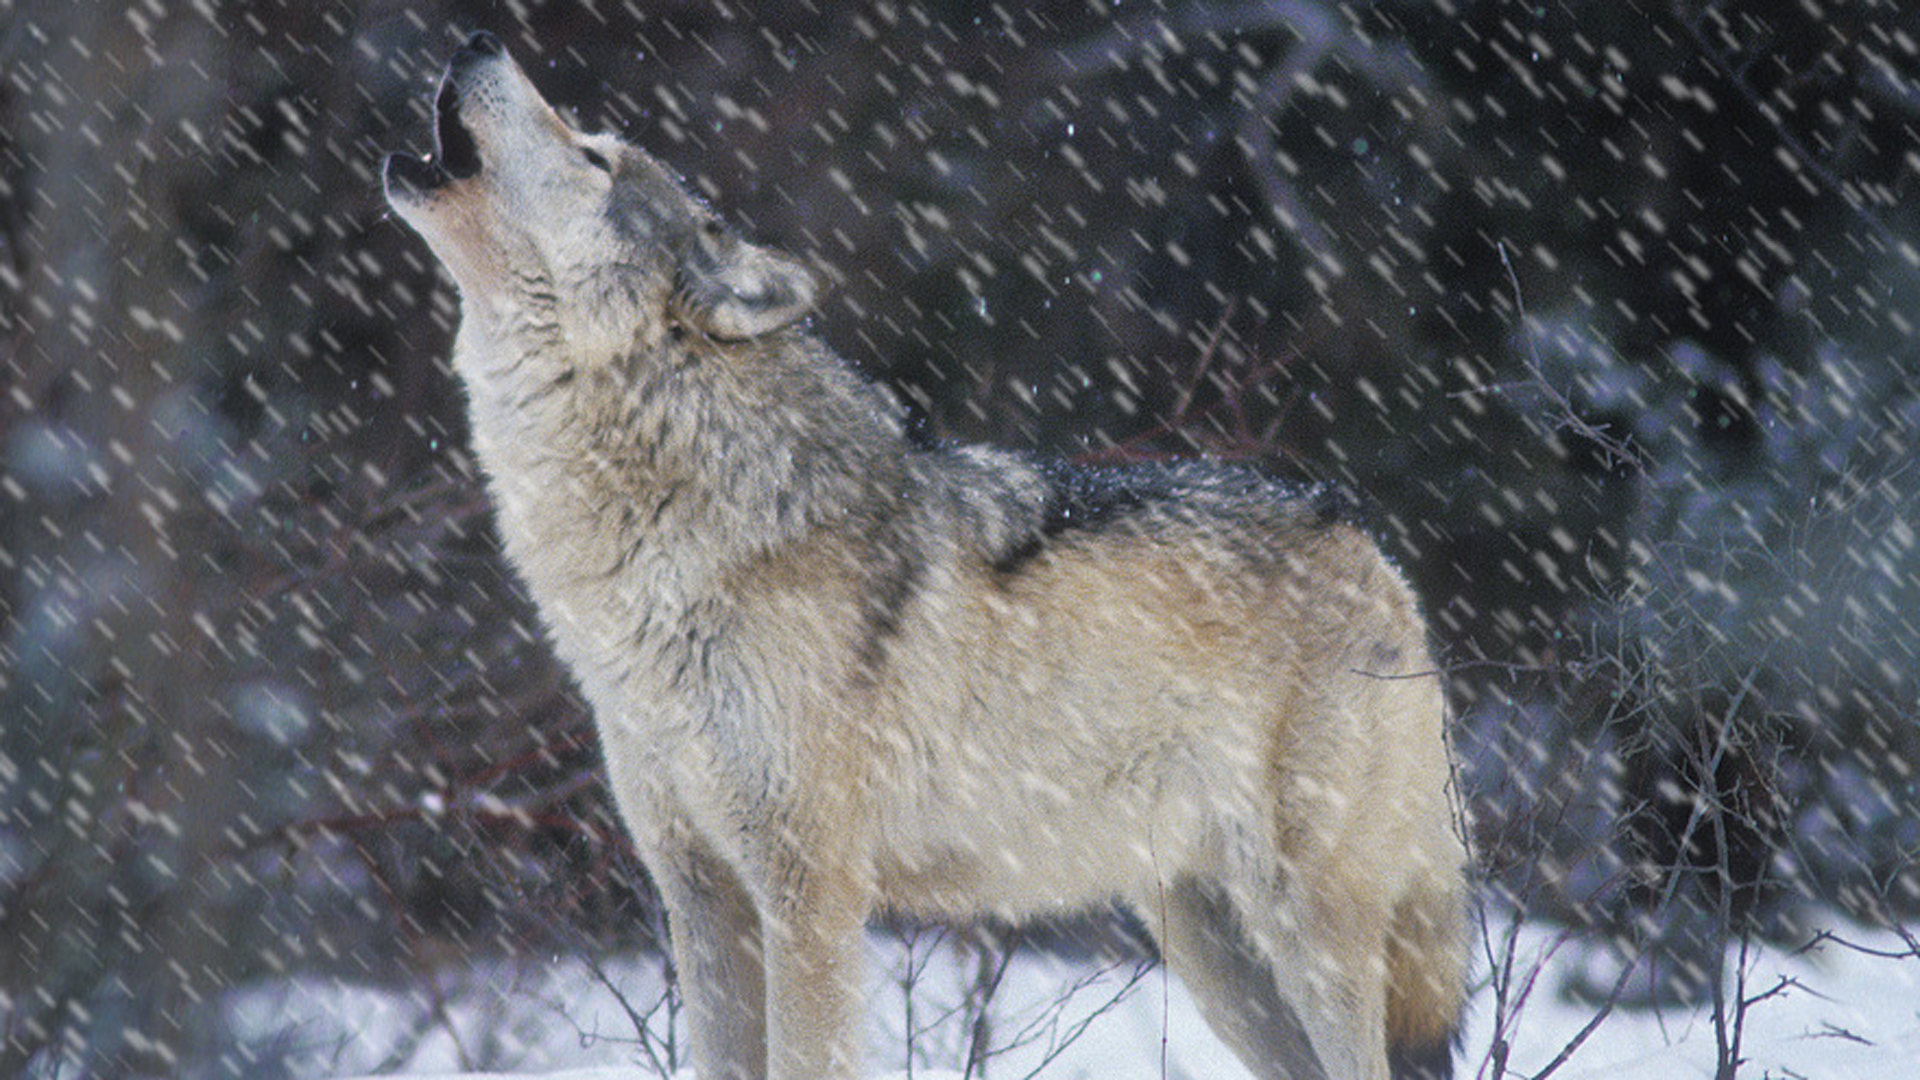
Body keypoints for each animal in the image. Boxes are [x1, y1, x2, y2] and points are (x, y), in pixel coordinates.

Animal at [385, 29, 1466, 1068]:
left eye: (595, 156)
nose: (476, 39)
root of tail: (1369, 542)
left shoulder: (811, 890)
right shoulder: (700, 894)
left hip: (1308, 932)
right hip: (1211, 952)